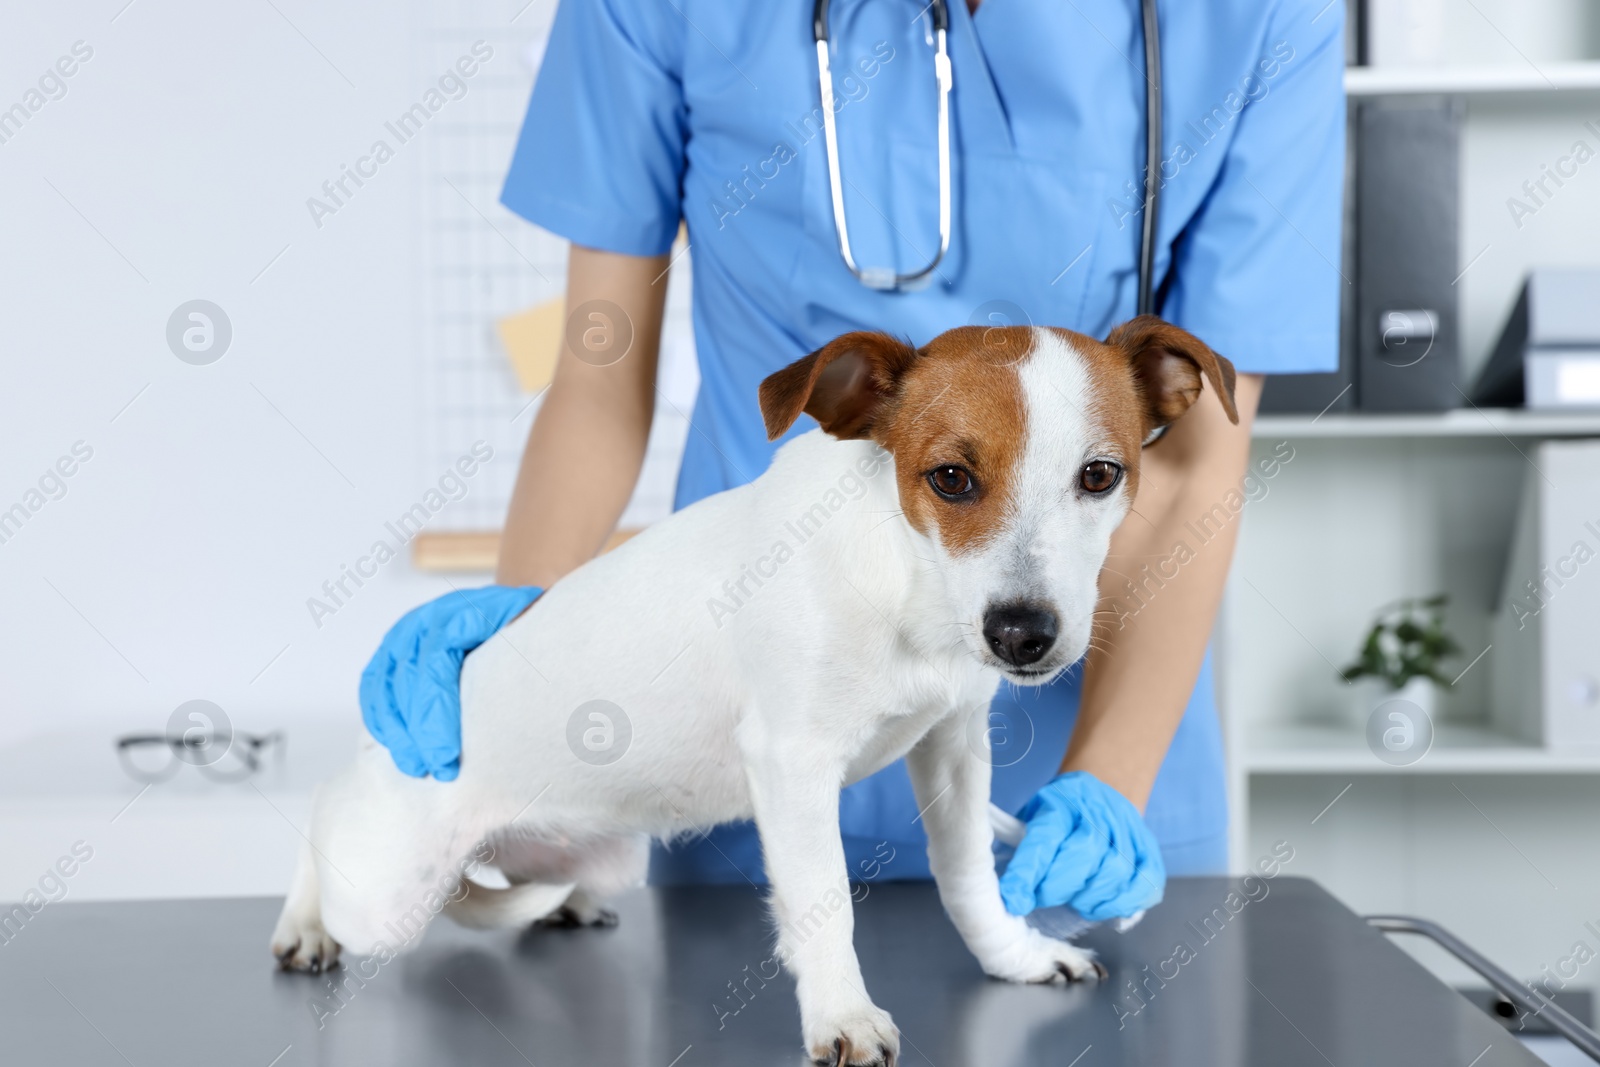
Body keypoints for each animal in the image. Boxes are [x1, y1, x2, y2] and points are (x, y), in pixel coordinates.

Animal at [272, 316, 1235, 1067]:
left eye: (1101, 475)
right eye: (950, 477)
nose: (1023, 634)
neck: (903, 584)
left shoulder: (954, 746)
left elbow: (965, 877)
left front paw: (1016, 955)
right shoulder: (793, 763)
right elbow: (824, 900)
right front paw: (843, 1014)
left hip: (597, 851)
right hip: (388, 888)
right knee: (322, 816)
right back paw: (306, 922)